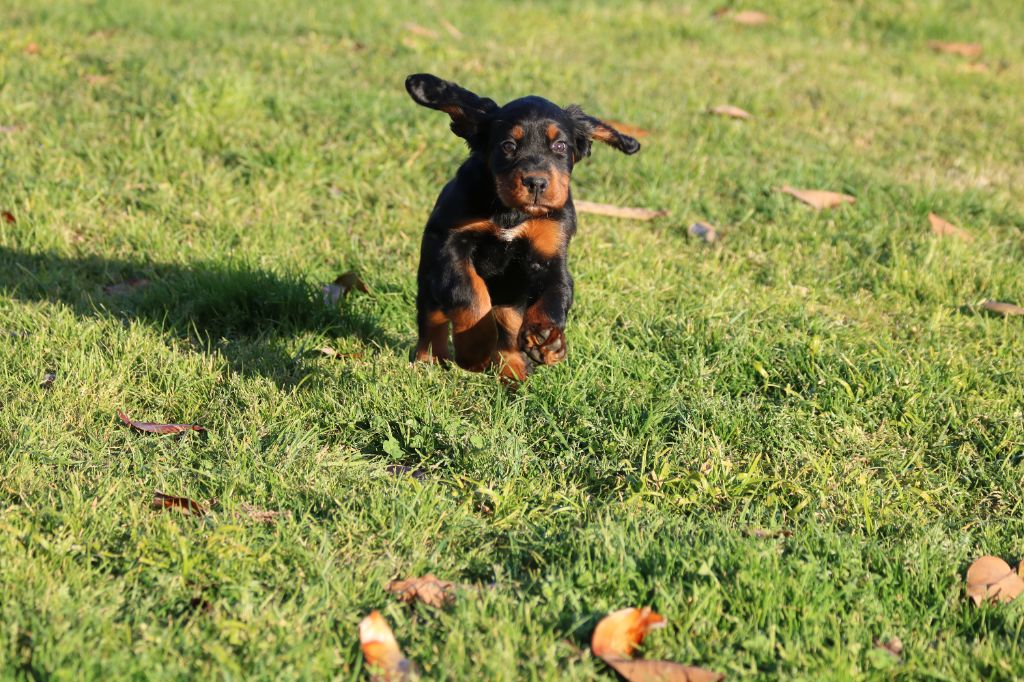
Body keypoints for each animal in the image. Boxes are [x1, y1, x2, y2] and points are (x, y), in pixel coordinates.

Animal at [401, 75, 634, 382]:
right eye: (508, 146)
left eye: (560, 146)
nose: (536, 183)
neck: (511, 213)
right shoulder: (449, 244)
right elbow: (470, 292)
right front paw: (475, 349)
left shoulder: (550, 255)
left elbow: (556, 294)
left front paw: (547, 338)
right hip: (430, 277)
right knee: (433, 319)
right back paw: (429, 360)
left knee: (508, 327)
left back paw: (515, 369)